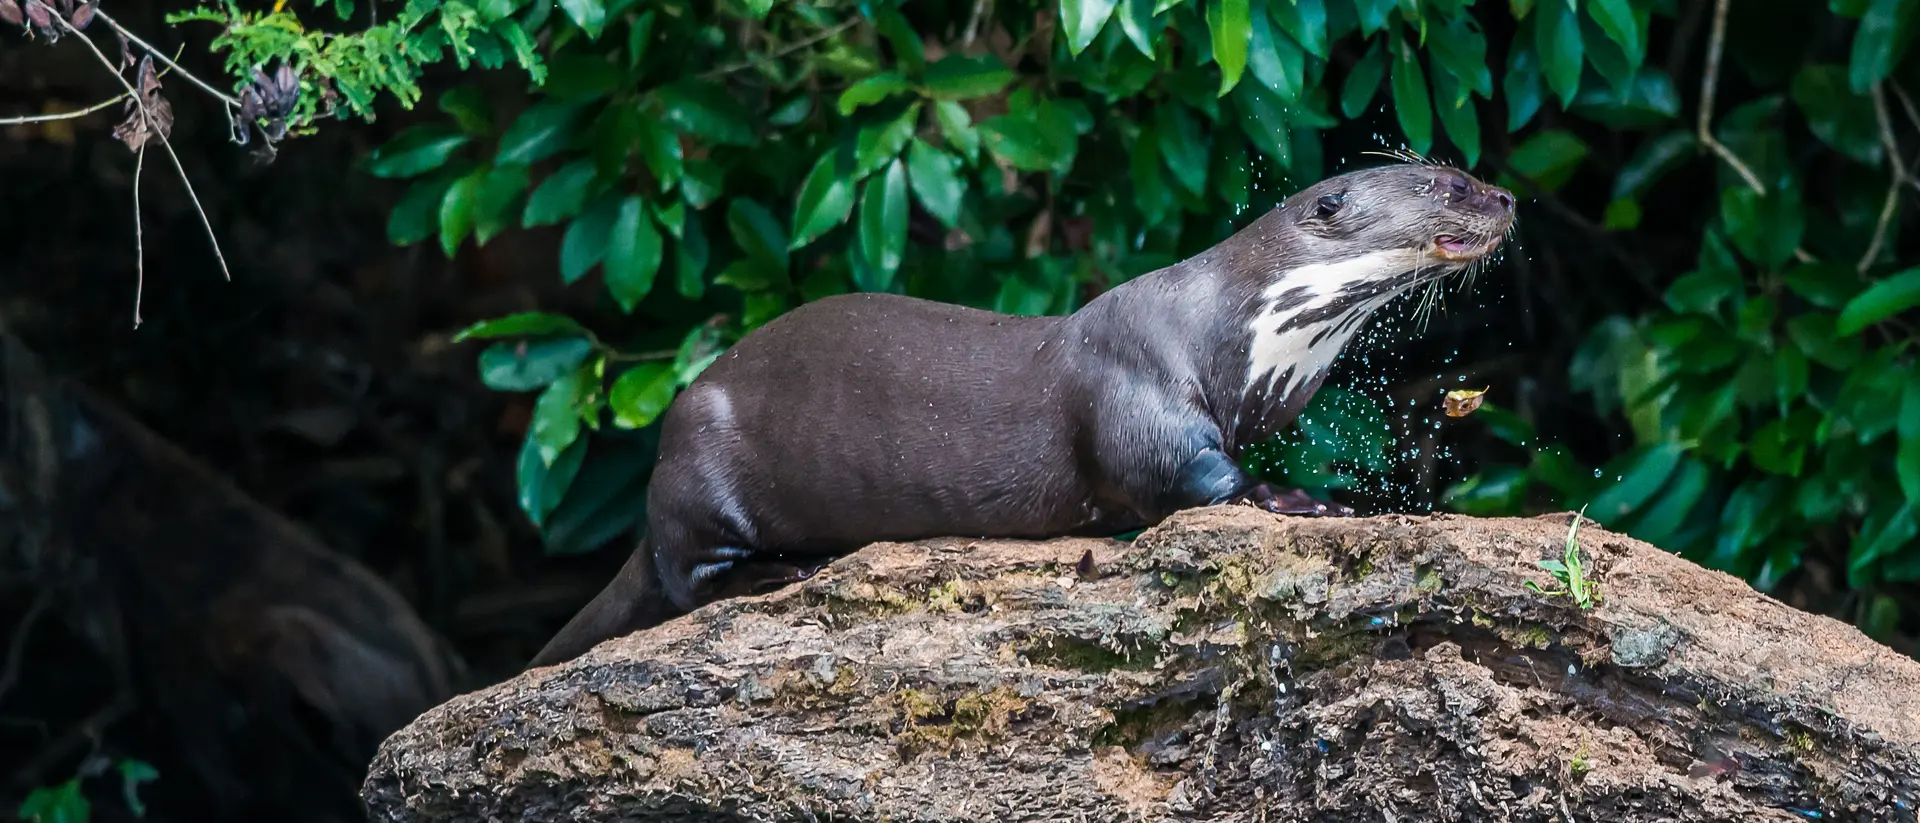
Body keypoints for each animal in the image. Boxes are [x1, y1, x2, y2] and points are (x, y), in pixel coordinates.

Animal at [529, 161, 1516, 668]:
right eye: (1447, 186)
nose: (1506, 198)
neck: (1240, 327)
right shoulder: (1138, 386)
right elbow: (1188, 473)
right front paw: (1308, 502)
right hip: (701, 462)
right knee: (686, 578)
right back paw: (781, 572)